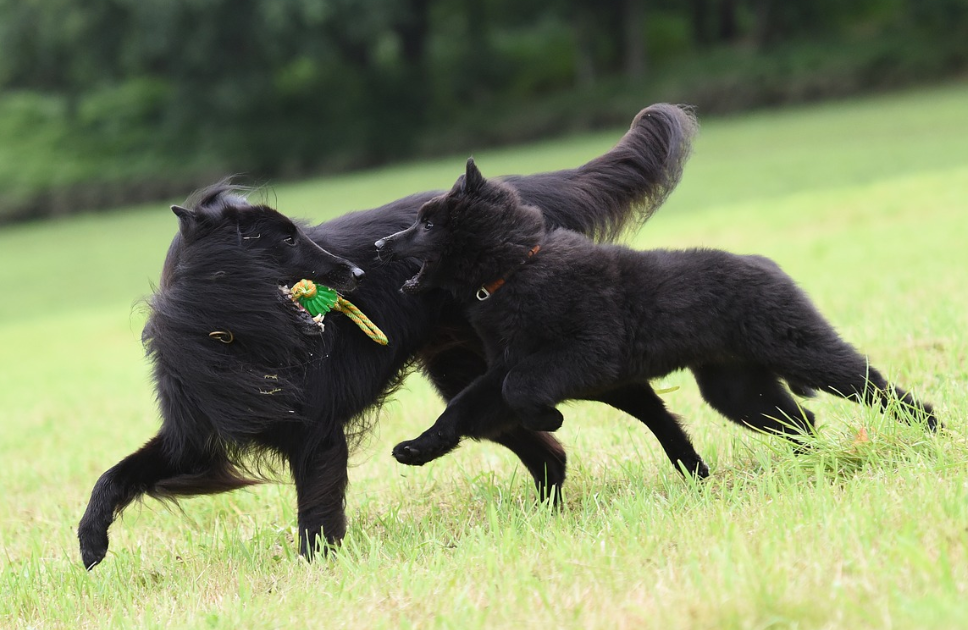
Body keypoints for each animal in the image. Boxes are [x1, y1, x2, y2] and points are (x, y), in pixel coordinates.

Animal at [75, 102, 696, 568]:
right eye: (283, 240)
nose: (356, 271)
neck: (230, 333)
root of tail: (518, 196)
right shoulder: (195, 436)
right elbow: (114, 476)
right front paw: (90, 541)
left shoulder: (318, 434)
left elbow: (316, 515)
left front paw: (317, 572)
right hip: (471, 377)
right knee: (543, 448)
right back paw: (544, 512)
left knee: (620, 403)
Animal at [376, 159, 936, 478]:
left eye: (428, 224)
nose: (380, 246)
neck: (517, 268)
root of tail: (767, 265)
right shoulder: (505, 367)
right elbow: (465, 407)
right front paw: (420, 448)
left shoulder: (586, 353)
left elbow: (521, 390)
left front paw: (549, 418)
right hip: (739, 390)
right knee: (803, 419)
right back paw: (813, 463)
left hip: (800, 349)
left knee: (874, 386)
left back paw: (933, 429)